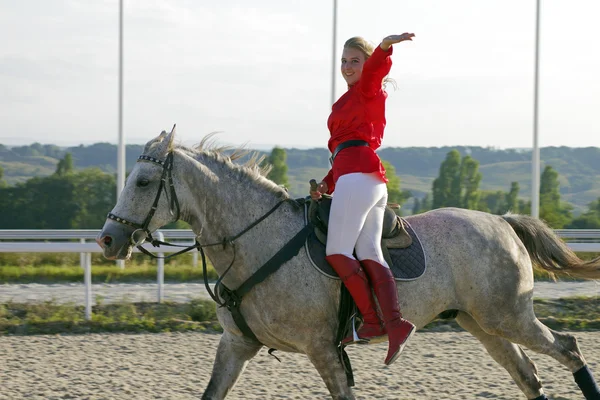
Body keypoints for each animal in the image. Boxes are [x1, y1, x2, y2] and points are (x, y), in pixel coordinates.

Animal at [96, 126, 600, 398]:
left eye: (143, 182)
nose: (107, 238)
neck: (255, 240)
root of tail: (502, 221)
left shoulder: (323, 349)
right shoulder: (236, 344)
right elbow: (211, 392)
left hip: (509, 317)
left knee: (568, 348)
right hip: (483, 324)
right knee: (530, 377)